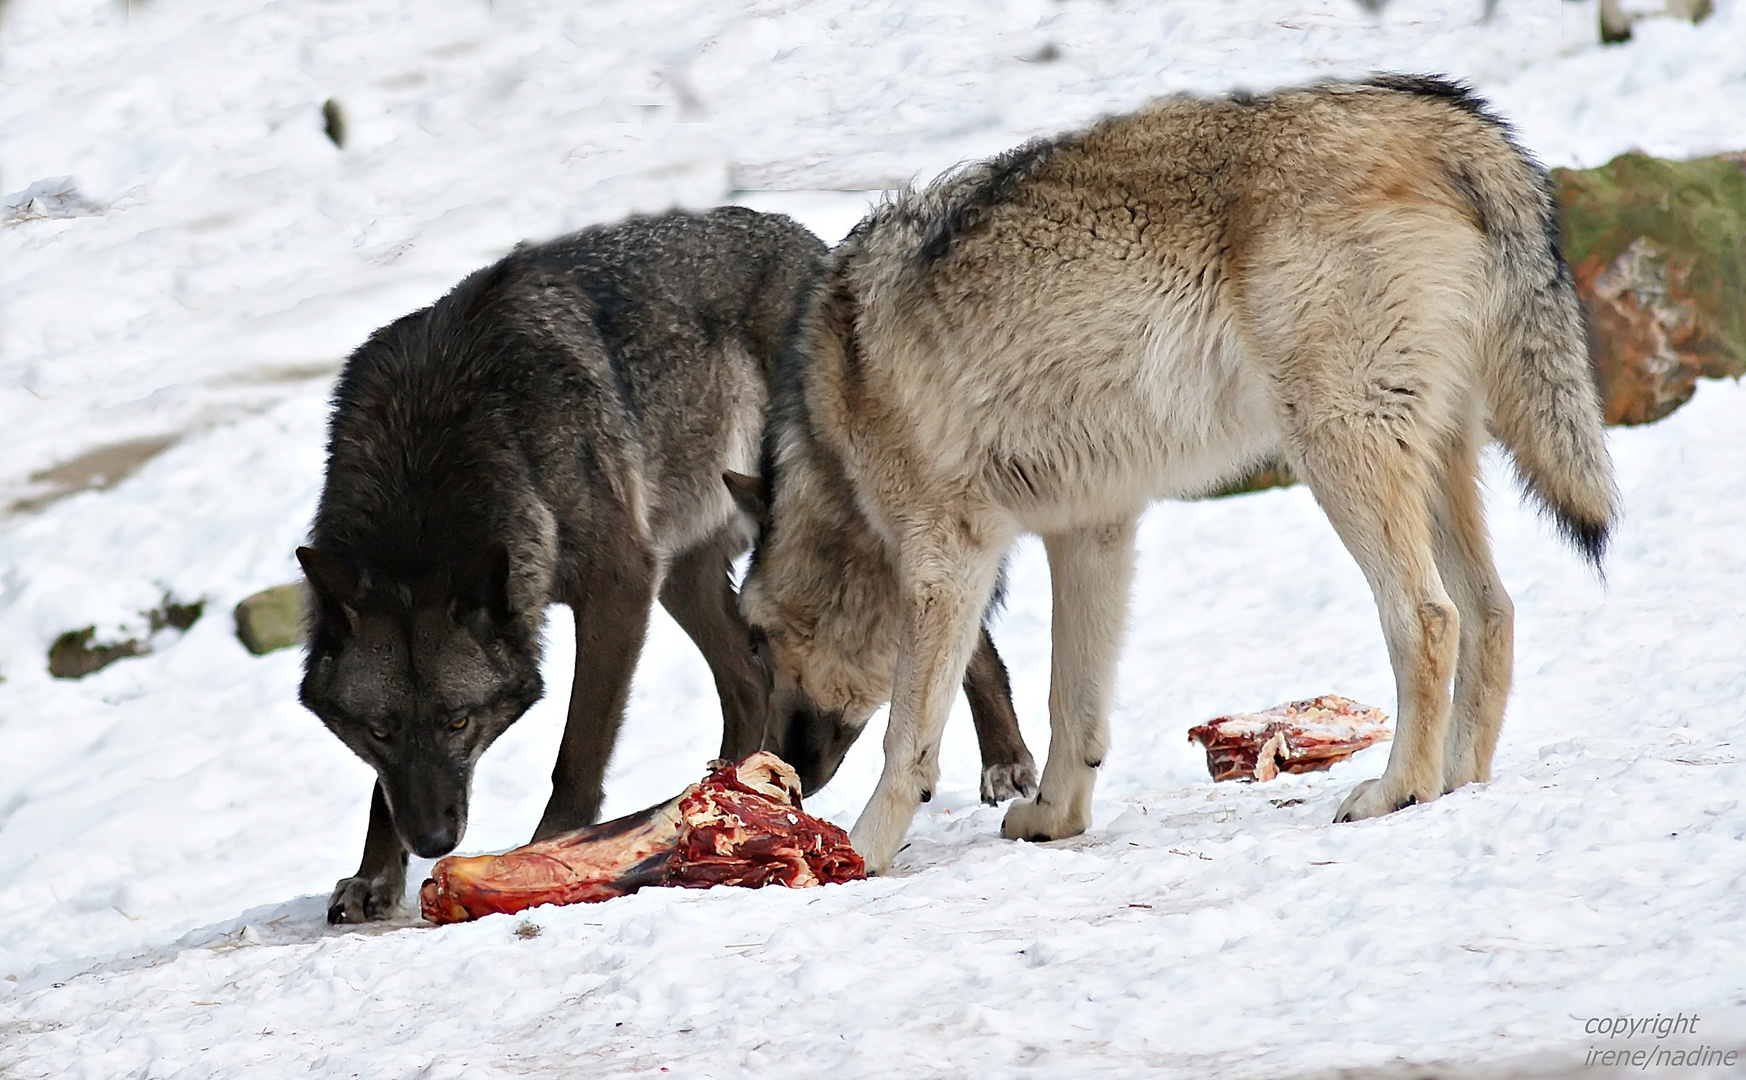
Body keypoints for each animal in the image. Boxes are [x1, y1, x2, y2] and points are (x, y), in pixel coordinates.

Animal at [300, 209, 1033, 921]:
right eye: (378, 730)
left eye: (458, 722)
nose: (433, 842)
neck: (437, 462)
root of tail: (814, 248)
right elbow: (382, 791)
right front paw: (374, 877)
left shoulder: (619, 586)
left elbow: (577, 754)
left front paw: (547, 852)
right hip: (689, 576)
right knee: (749, 683)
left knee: (962, 640)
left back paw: (1006, 762)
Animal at [733, 75, 1606, 875]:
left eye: (759, 640)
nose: (782, 771)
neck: (837, 426)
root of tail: (1443, 115)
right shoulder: (1091, 529)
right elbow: (1073, 703)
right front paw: (1055, 816)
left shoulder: (950, 558)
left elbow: (906, 741)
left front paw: (857, 850)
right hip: (1433, 457)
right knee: (1491, 610)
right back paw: (1459, 780)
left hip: (1335, 449)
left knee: (1428, 617)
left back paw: (1399, 790)